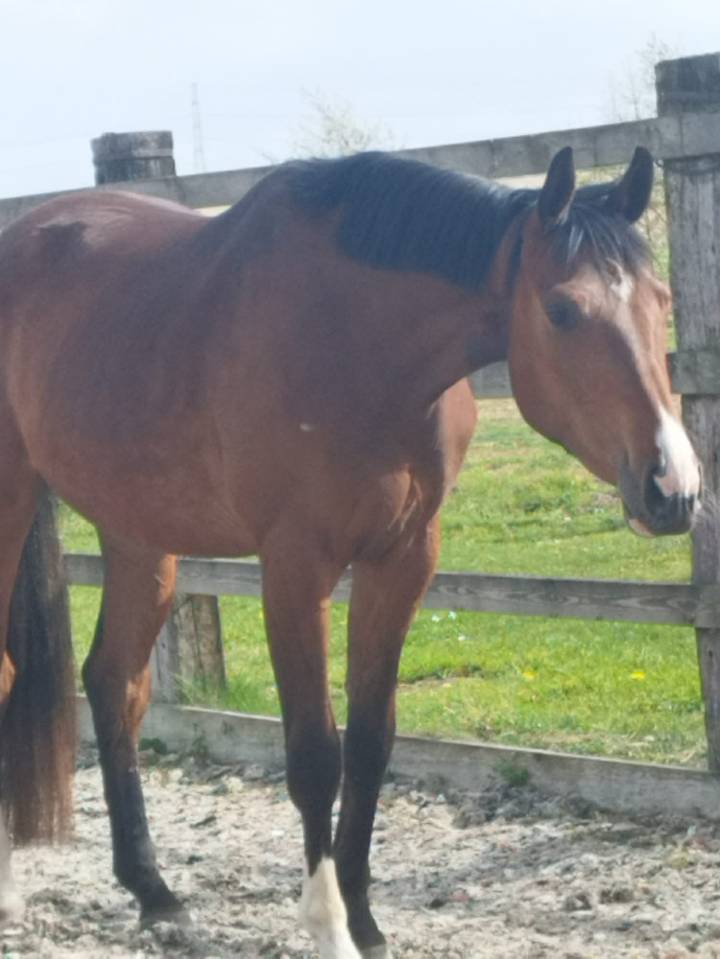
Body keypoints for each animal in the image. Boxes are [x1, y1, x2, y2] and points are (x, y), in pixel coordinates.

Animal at [0, 144, 701, 958]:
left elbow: (371, 740)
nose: (674, 487)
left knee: (115, 683)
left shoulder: (402, 560)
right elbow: (314, 755)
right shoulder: (293, 569)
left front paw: (365, 919)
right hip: (14, 502)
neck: (357, 341)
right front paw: (329, 924)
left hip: (139, 530)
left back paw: (155, 893)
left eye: (660, 299)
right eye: (563, 310)